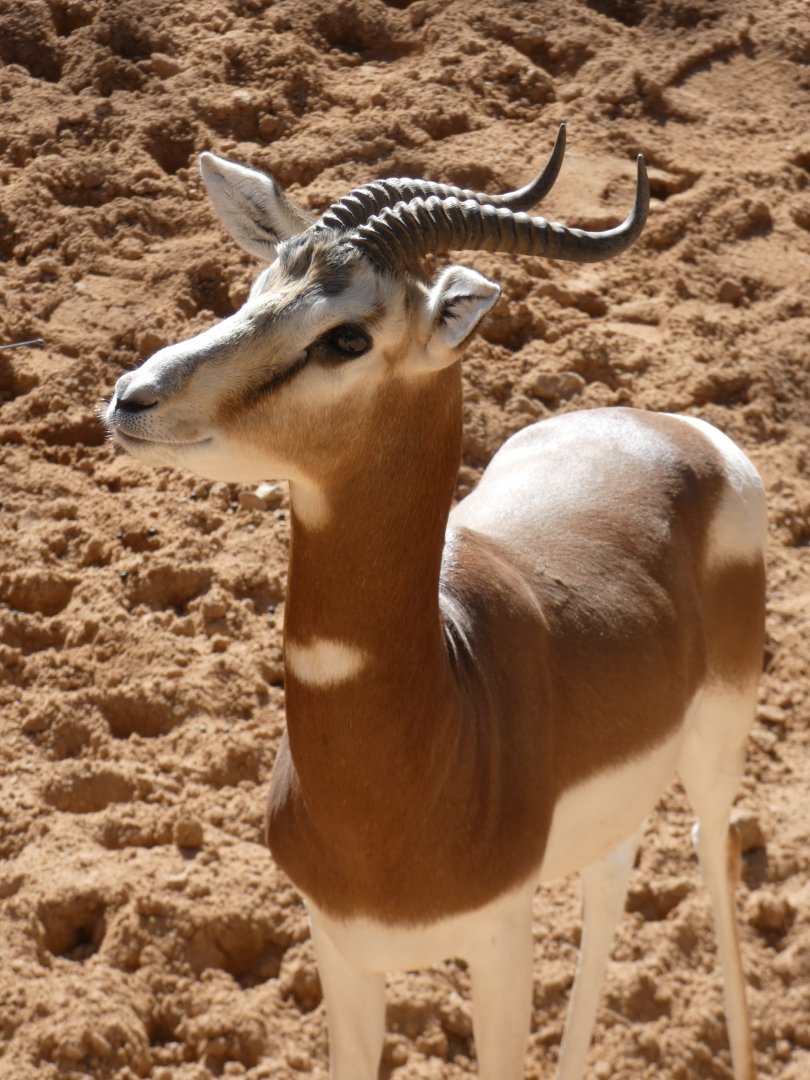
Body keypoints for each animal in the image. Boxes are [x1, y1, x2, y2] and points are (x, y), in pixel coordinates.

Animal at [105, 126, 766, 1080]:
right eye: (260, 288)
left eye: (346, 336)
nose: (135, 396)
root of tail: (676, 430)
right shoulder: (340, 948)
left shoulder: (499, 943)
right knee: (613, 881)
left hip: (718, 752)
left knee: (712, 861)